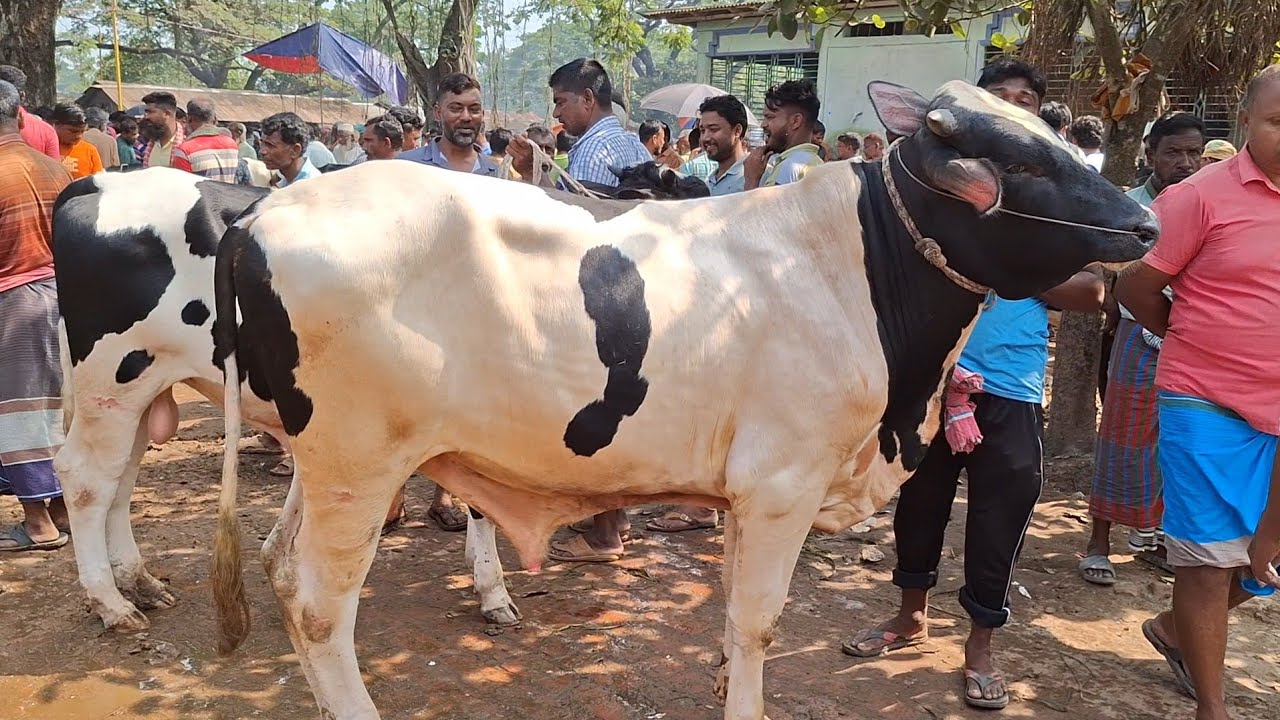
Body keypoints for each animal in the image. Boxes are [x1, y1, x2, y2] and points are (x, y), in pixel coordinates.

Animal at [209, 80, 1157, 720]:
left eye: (1058, 136)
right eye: (1023, 162)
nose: (1147, 226)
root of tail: (262, 215)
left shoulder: (746, 490)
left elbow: (734, 617)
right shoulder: (782, 486)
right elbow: (758, 621)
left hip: (328, 465)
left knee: (278, 566)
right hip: (358, 465)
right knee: (318, 610)